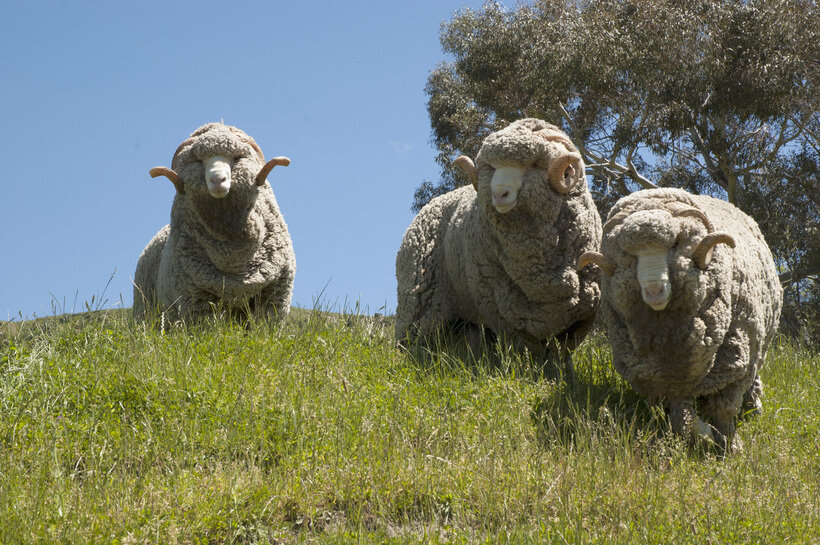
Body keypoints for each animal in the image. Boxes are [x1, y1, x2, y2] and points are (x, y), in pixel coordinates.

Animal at [131, 121, 292, 320]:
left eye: (236, 157)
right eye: (199, 160)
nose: (218, 179)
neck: (233, 260)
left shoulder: (274, 297)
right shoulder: (197, 300)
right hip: (146, 310)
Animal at [398, 118, 604, 374]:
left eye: (533, 165)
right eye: (493, 167)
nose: (499, 194)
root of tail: (429, 206)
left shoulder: (580, 316)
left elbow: (561, 357)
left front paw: (564, 378)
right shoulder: (505, 315)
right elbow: (528, 356)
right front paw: (530, 377)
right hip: (419, 303)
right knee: (412, 343)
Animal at [576, 187, 780, 450]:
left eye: (674, 245)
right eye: (630, 255)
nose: (654, 290)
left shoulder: (733, 365)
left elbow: (724, 411)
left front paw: (730, 445)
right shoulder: (665, 381)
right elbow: (683, 422)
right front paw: (706, 434)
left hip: (758, 345)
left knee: (753, 377)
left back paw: (753, 406)